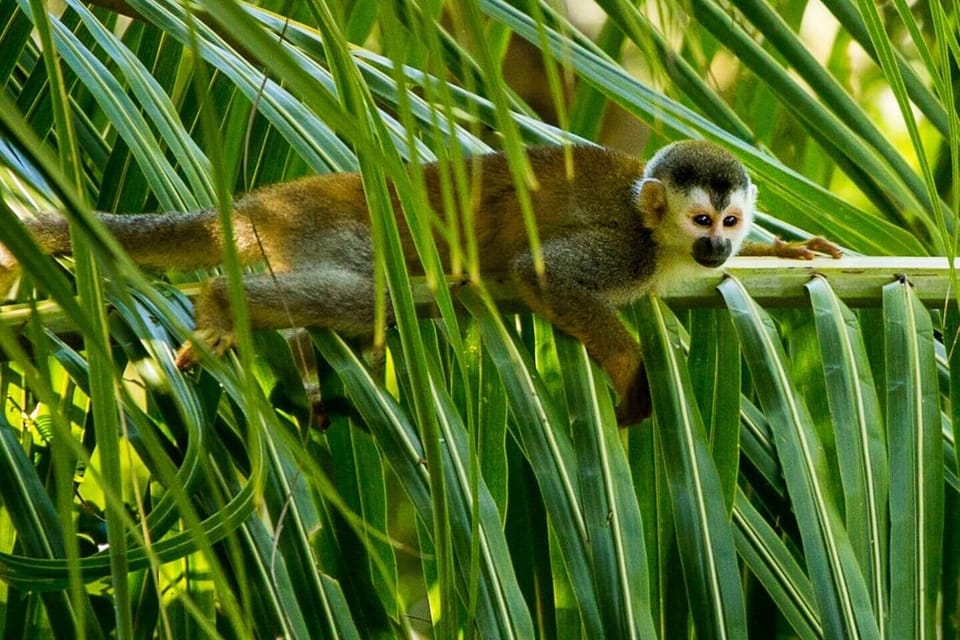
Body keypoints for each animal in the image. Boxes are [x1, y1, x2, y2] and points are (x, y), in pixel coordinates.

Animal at [0, 140, 841, 425]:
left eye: (729, 223)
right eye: (702, 222)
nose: (718, 251)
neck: (656, 238)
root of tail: (255, 206)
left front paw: (788, 248)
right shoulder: (621, 252)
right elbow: (539, 276)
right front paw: (630, 367)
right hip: (319, 234)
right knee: (363, 297)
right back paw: (217, 304)